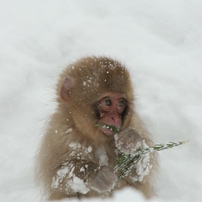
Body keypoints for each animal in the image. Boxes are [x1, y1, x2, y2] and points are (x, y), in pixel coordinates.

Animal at [35, 56, 158, 200]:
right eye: (107, 102)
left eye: (121, 103)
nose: (115, 118)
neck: (98, 139)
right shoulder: (59, 133)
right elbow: (59, 177)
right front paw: (96, 174)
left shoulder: (134, 123)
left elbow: (138, 175)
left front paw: (132, 139)